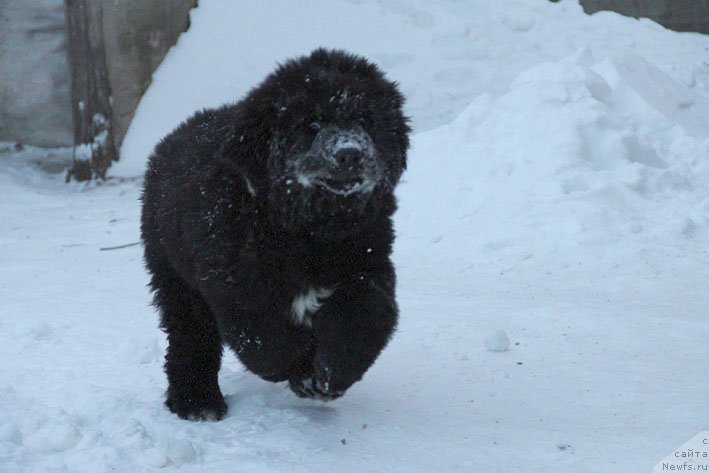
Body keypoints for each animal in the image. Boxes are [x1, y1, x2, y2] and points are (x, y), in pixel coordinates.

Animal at [140, 48, 410, 418]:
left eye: (367, 121)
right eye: (312, 125)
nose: (350, 153)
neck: (307, 232)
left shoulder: (367, 265)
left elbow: (360, 318)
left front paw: (329, 373)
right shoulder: (236, 285)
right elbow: (268, 343)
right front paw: (302, 369)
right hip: (174, 275)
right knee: (191, 335)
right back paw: (196, 401)